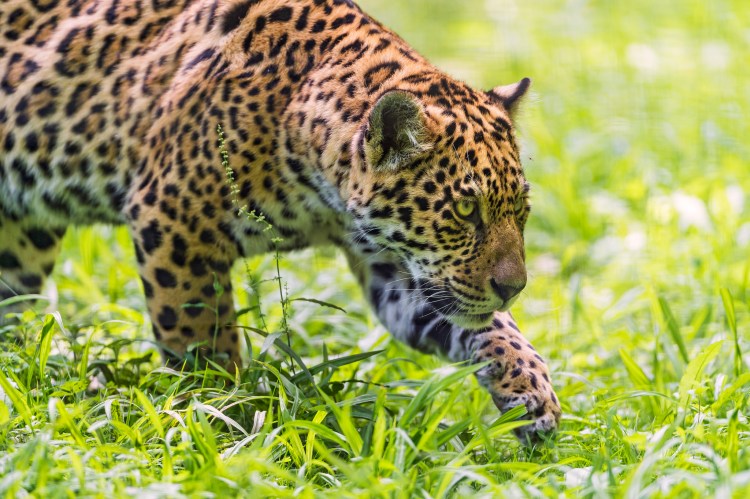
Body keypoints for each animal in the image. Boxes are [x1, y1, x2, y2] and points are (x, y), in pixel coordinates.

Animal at [0, 0, 561, 440]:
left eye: (521, 210)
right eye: (466, 210)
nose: (514, 288)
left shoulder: (394, 265)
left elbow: (484, 325)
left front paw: (532, 388)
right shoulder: (171, 216)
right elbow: (199, 333)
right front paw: (218, 413)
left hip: (22, 237)